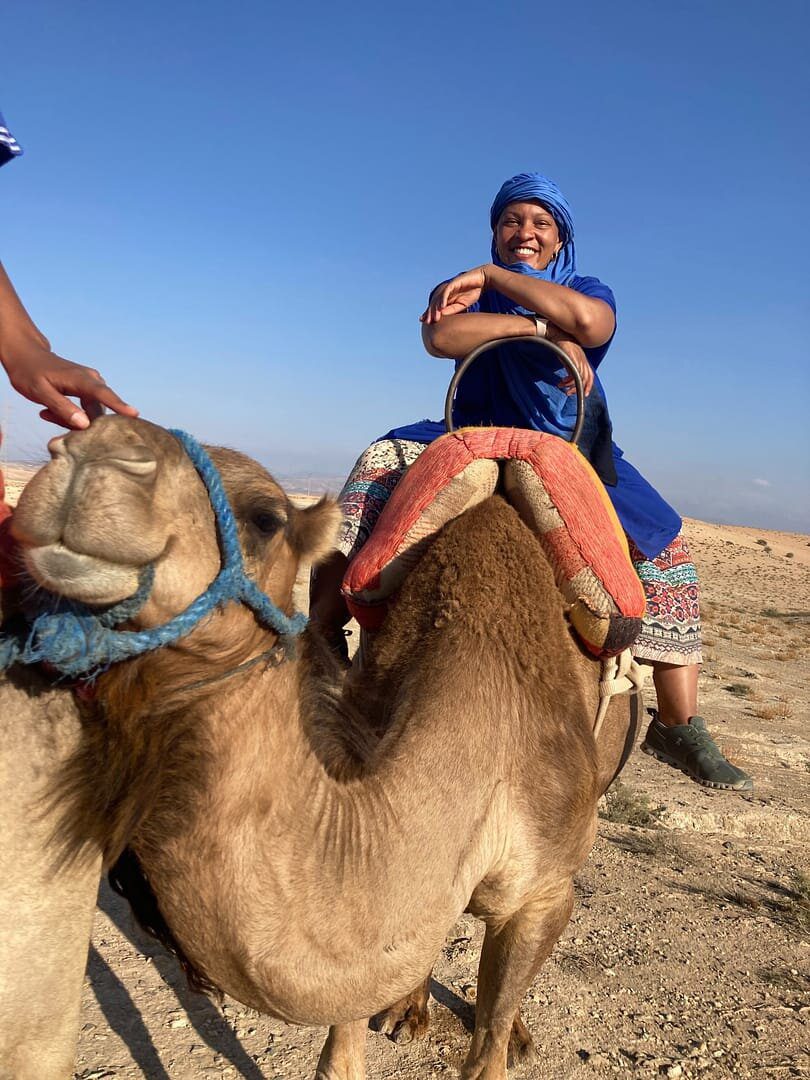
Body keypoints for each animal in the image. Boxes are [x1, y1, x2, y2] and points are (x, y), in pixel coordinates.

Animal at [7, 415, 638, 1080]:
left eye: (265, 518)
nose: (90, 452)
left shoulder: (545, 888)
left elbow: (489, 1035)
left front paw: (503, 1035)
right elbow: (343, 1042)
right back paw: (406, 1008)